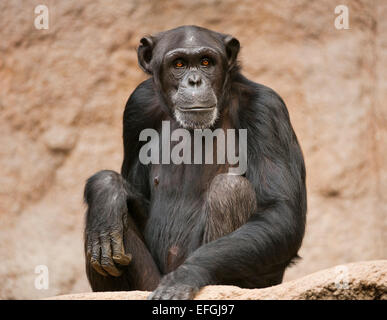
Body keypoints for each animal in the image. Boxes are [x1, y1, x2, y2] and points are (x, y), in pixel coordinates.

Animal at [83, 25, 308, 300]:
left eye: (206, 62)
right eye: (179, 63)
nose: (194, 81)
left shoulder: (267, 111)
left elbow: (279, 212)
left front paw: (187, 273)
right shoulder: (136, 107)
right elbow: (132, 192)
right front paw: (107, 191)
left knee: (229, 189)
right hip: (148, 283)